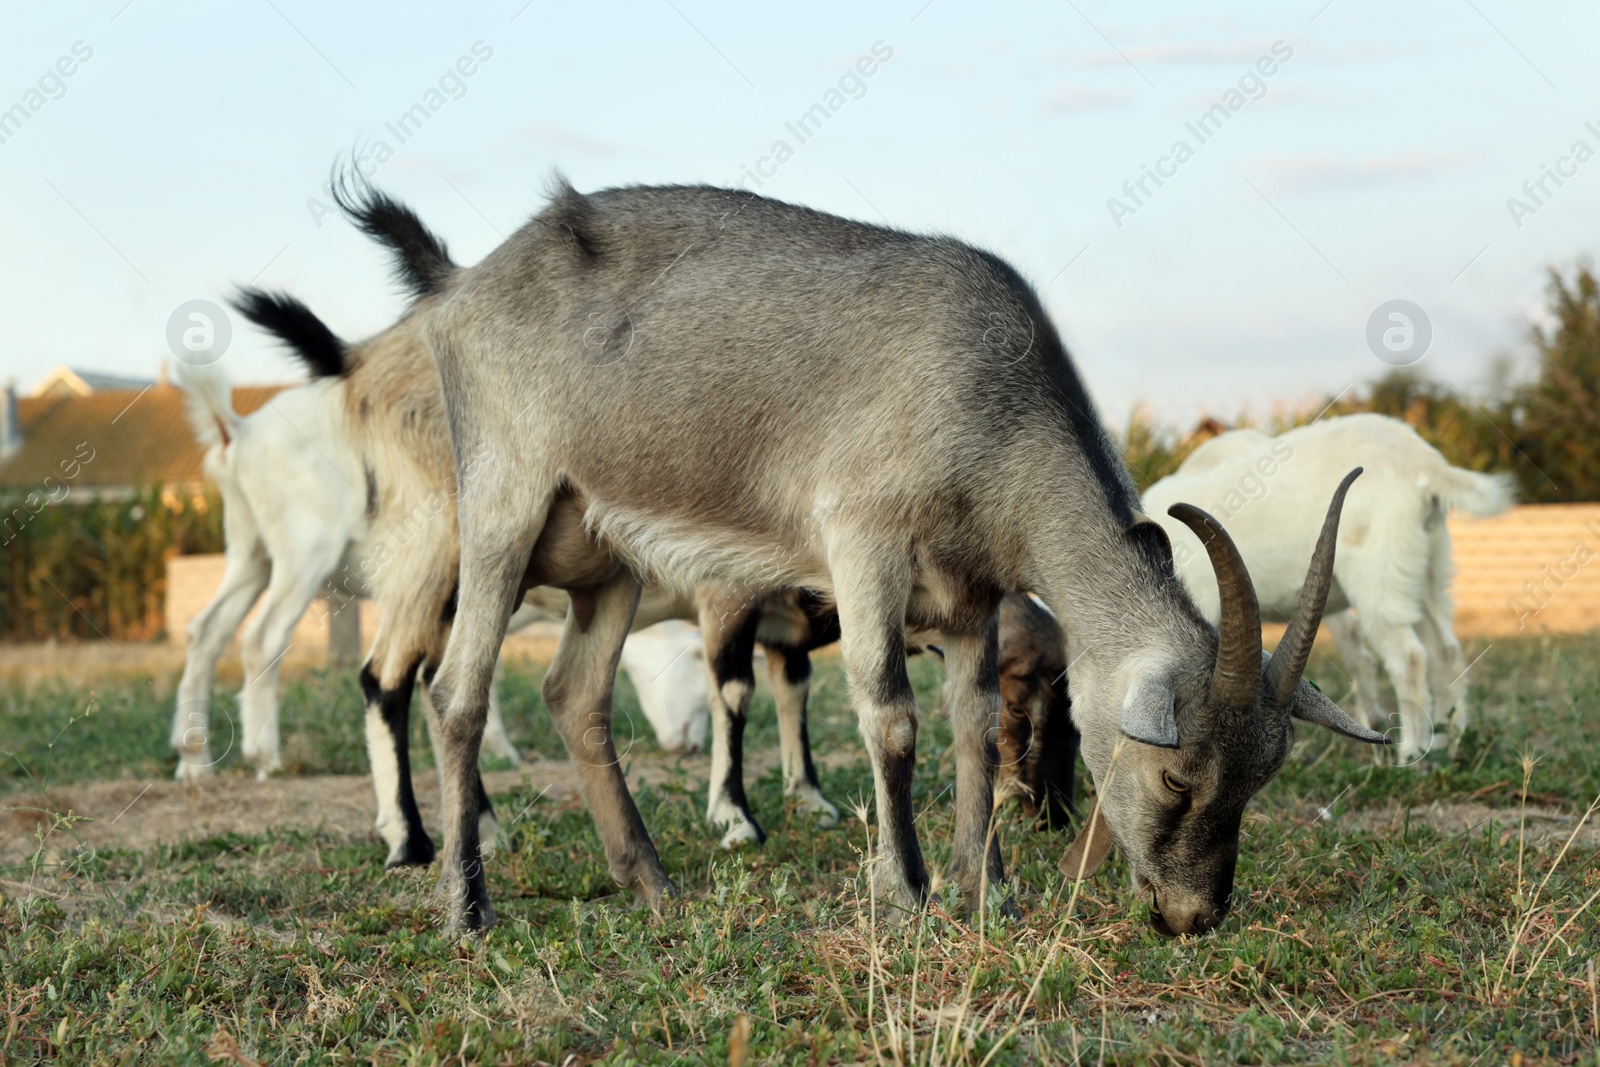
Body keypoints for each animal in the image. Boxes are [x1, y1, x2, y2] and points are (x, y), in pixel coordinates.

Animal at [416, 179, 1388, 940]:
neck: (986, 404)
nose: (1192, 914)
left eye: (1262, 775)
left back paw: (652, 883)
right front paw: (908, 890)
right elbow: (890, 715)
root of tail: (462, 290)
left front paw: (988, 889)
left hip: (607, 551)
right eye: (1178, 774)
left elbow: (974, 721)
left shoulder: (972, 595)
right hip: (506, 501)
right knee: (456, 690)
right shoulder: (862, 540)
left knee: (574, 693)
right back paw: (467, 905)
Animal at [1139, 412, 1510, 764]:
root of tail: (1423, 463)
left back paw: (1412, 752)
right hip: (1426, 574)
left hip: (1377, 577)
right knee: (1444, 651)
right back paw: (1448, 741)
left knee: (1409, 657)